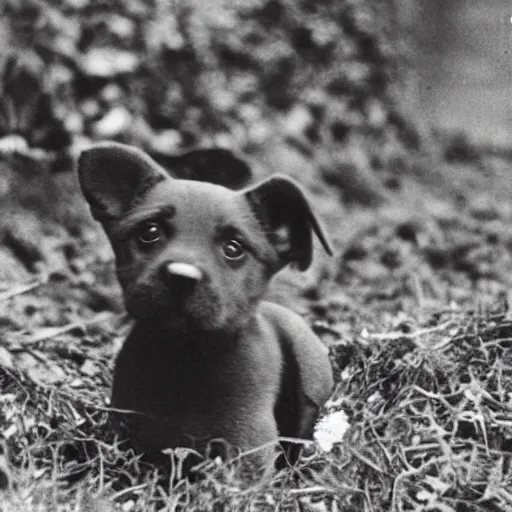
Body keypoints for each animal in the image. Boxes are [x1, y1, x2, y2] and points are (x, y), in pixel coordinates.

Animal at [76, 142, 332, 474]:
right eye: (149, 231)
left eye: (234, 248)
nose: (181, 277)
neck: (187, 357)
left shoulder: (248, 450)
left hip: (310, 371)